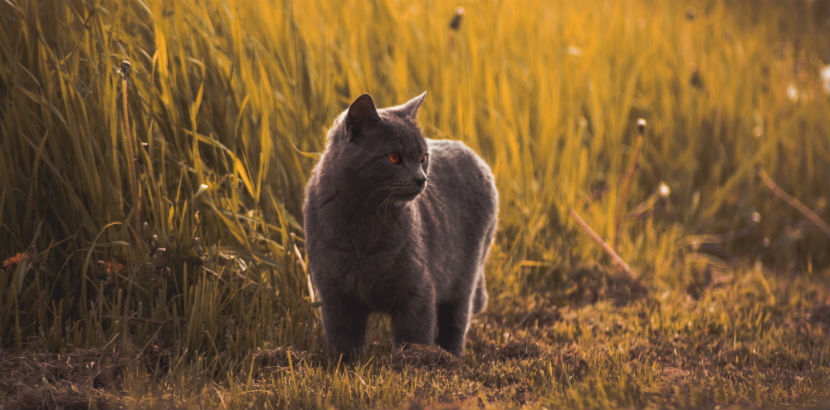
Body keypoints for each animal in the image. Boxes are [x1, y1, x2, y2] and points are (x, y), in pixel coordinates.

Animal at [306, 92, 500, 356]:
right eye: (394, 157)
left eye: (423, 158)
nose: (421, 178)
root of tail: (475, 155)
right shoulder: (335, 294)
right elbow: (343, 340)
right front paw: (344, 362)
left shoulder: (417, 291)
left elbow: (414, 336)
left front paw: (415, 361)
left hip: (464, 277)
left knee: (456, 323)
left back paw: (451, 358)